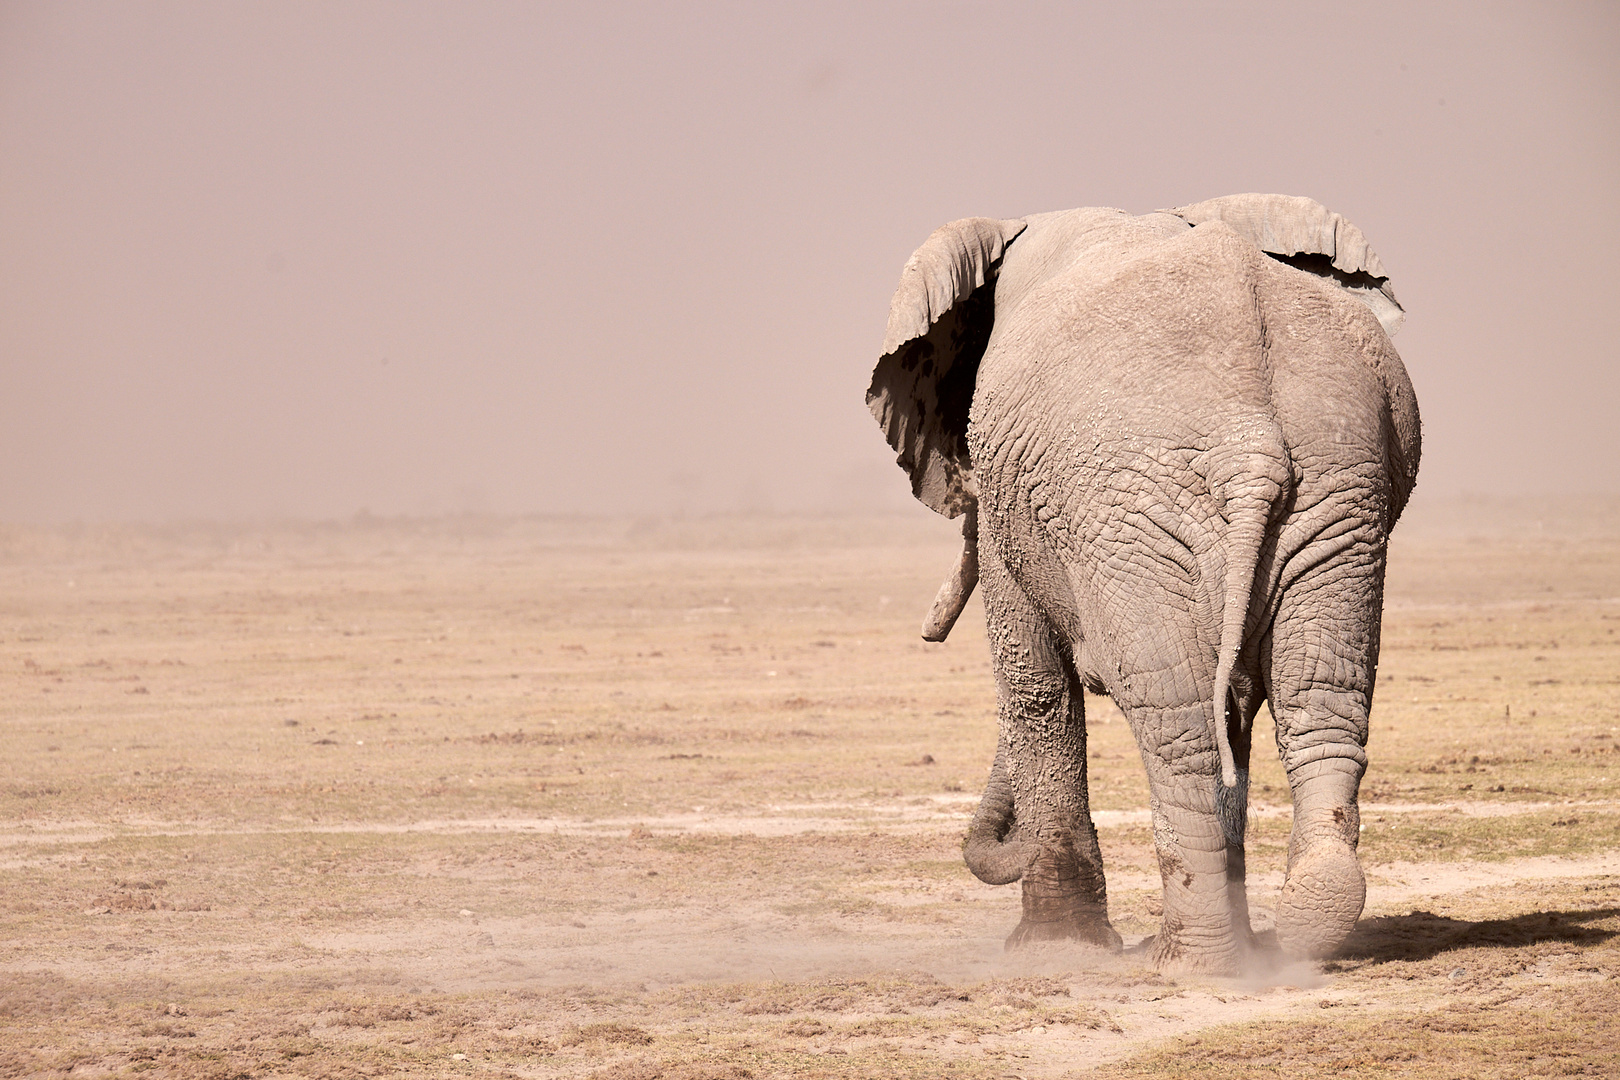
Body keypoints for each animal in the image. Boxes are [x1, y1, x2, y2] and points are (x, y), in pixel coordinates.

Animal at [868, 190, 1412, 977]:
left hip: (1128, 503)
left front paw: (1054, 947)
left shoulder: (1014, 509)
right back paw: (1303, 926)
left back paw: (1187, 961)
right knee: (1317, 694)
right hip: (1341, 484)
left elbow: (1034, 684)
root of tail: (1249, 441)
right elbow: (1237, 698)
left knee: (1175, 712)